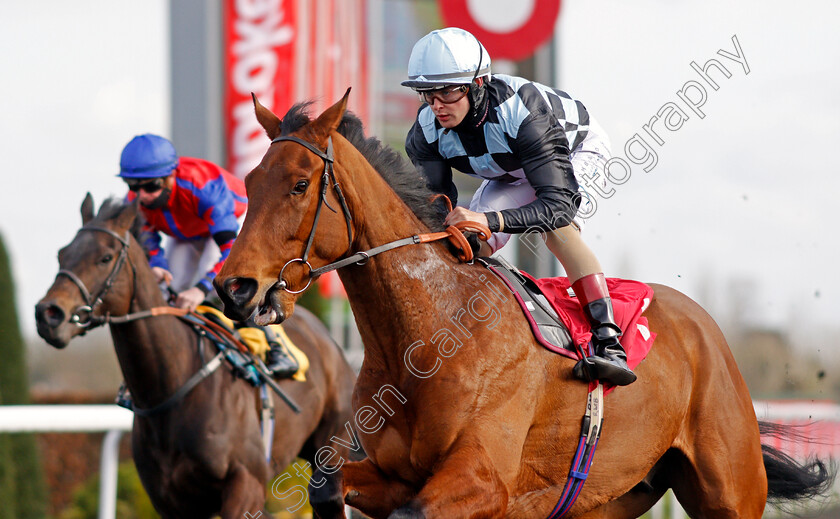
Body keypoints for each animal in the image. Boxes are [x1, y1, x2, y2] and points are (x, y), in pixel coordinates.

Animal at [35, 196, 358, 519]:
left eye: (105, 257)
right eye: (62, 255)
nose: (48, 314)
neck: (171, 388)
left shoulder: (246, 484)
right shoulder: (171, 501)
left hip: (329, 446)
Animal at [213, 93, 832, 519]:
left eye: (298, 185)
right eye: (249, 178)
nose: (234, 288)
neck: (428, 335)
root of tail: (706, 329)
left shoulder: (485, 480)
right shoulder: (396, 474)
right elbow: (325, 484)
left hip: (728, 492)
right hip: (607, 499)